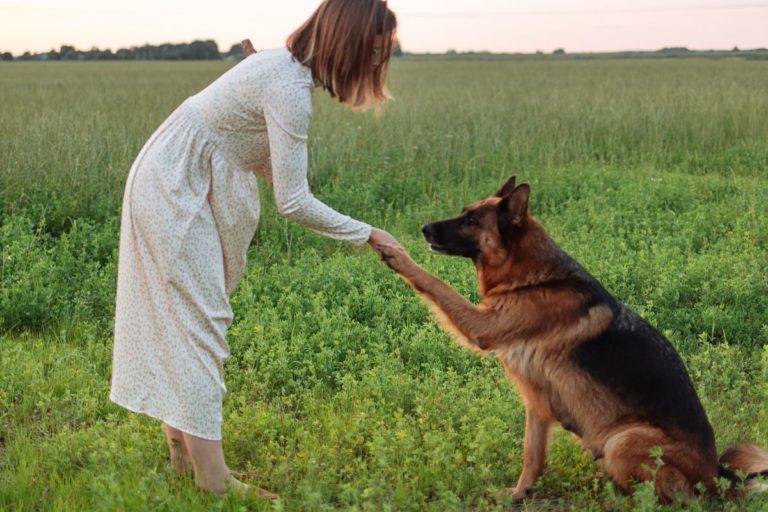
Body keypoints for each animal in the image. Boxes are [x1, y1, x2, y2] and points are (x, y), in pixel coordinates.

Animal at [380, 177, 768, 504]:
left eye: (472, 220)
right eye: (465, 212)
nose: (423, 229)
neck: (533, 278)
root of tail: (718, 478)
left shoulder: (482, 325)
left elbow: (435, 284)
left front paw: (397, 255)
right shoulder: (537, 403)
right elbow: (532, 456)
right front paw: (519, 493)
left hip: (622, 441)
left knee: (671, 495)